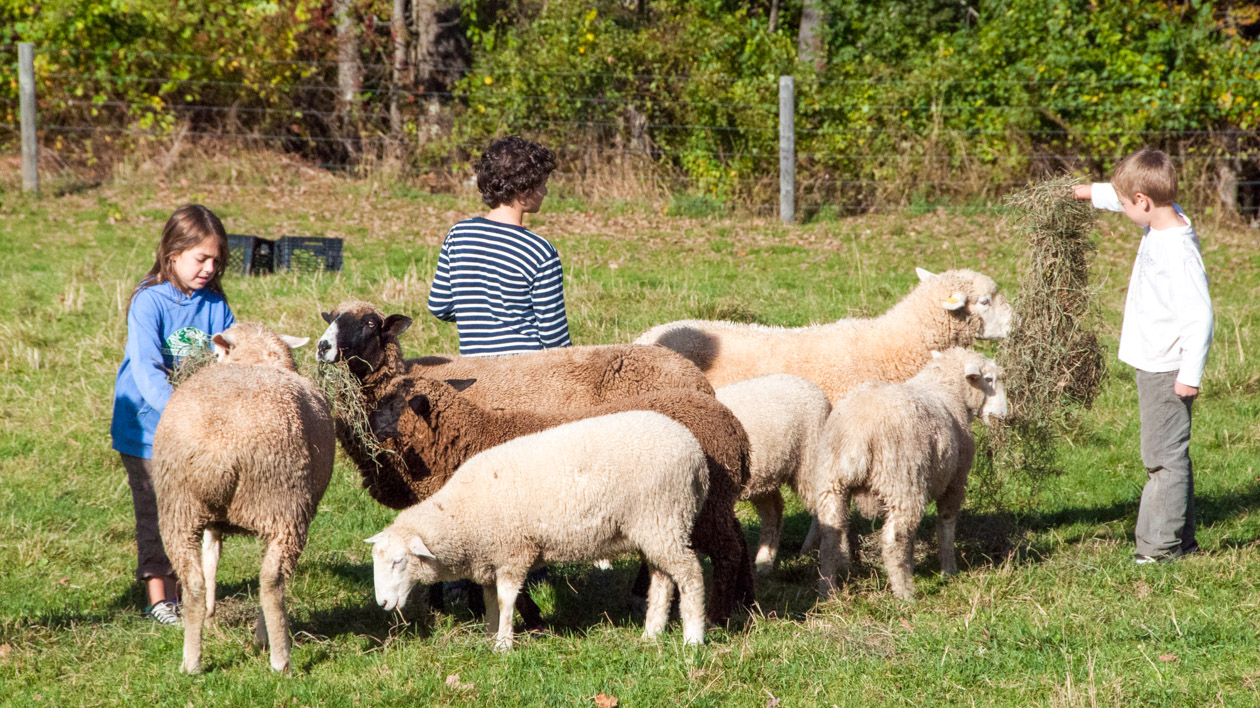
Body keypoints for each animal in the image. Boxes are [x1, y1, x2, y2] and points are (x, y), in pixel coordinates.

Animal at [150, 322, 337, 670]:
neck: (255, 358)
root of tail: (218, 452)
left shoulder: (214, 522)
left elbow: (211, 558)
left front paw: (210, 616)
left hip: (179, 510)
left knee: (194, 583)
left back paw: (191, 662)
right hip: (283, 507)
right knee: (272, 582)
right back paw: (279, 658)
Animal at [367, 372, 750, 619]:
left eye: (394, 404)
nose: (366, 425)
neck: (471, 438)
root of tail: (734, 427)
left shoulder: (507, 529)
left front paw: (532, 620)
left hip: (699, 506)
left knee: (728, 551)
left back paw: (718, 615)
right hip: (711, 502)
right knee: (737, 539)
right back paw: (743, 602)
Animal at [367, 410, 715, 650]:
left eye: (398, 562)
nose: (381, 604)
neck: (462, 515)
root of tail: (695, 452)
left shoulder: (513, 553)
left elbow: (506, 601)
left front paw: (504, 645)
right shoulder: (490, 559)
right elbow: (491, 602)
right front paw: (490, 636)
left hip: (664, 517)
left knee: (690, 574)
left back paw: (693, 638)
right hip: (655, 528)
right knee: (662, 579)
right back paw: (651, 634)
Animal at [801, 345, 1008, 597]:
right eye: (989, 379)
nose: (1003, 415)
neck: (947, 390)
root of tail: (858, 435)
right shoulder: (955, 480)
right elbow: (946, 525)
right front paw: (948, 570)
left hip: (832, 482)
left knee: (831, 535)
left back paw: (828, 589)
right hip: (902, 481)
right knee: (894, 537)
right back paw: (905, 593)